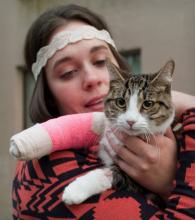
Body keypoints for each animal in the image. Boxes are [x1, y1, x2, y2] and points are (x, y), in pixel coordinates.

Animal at [62, 59, 175, 207]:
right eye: (120, 102)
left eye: (148, 104)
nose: (130, 121)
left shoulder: (137, 181)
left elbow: (111, 173)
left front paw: (77, 189)